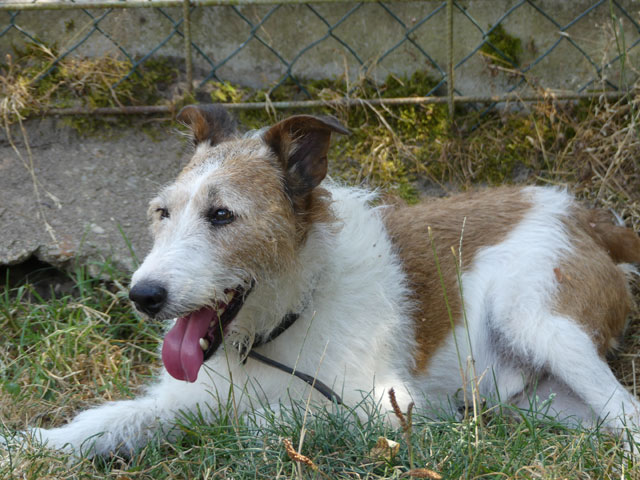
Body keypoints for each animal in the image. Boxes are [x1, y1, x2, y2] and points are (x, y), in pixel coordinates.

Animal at [22, 105, 640, 458]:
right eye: (162, 213)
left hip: (536, 319)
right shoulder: (185, 392)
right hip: (539, 403)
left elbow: (266, 419)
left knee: (627, 412)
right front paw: (32, 446)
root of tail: (583, 214)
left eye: (222, 215)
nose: (143, 296)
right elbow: (111, 419)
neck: (285, 317)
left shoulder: (385, 405)